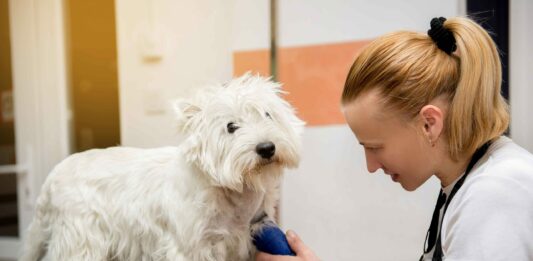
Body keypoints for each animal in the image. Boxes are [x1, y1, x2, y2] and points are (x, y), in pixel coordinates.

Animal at [21, 73, 304, 260]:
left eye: (268, 115)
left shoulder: (247, 239)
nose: (266, 148)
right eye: (231, 126)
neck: (234, 194)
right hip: (81, 239)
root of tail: (54, 175)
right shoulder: (189, 246)